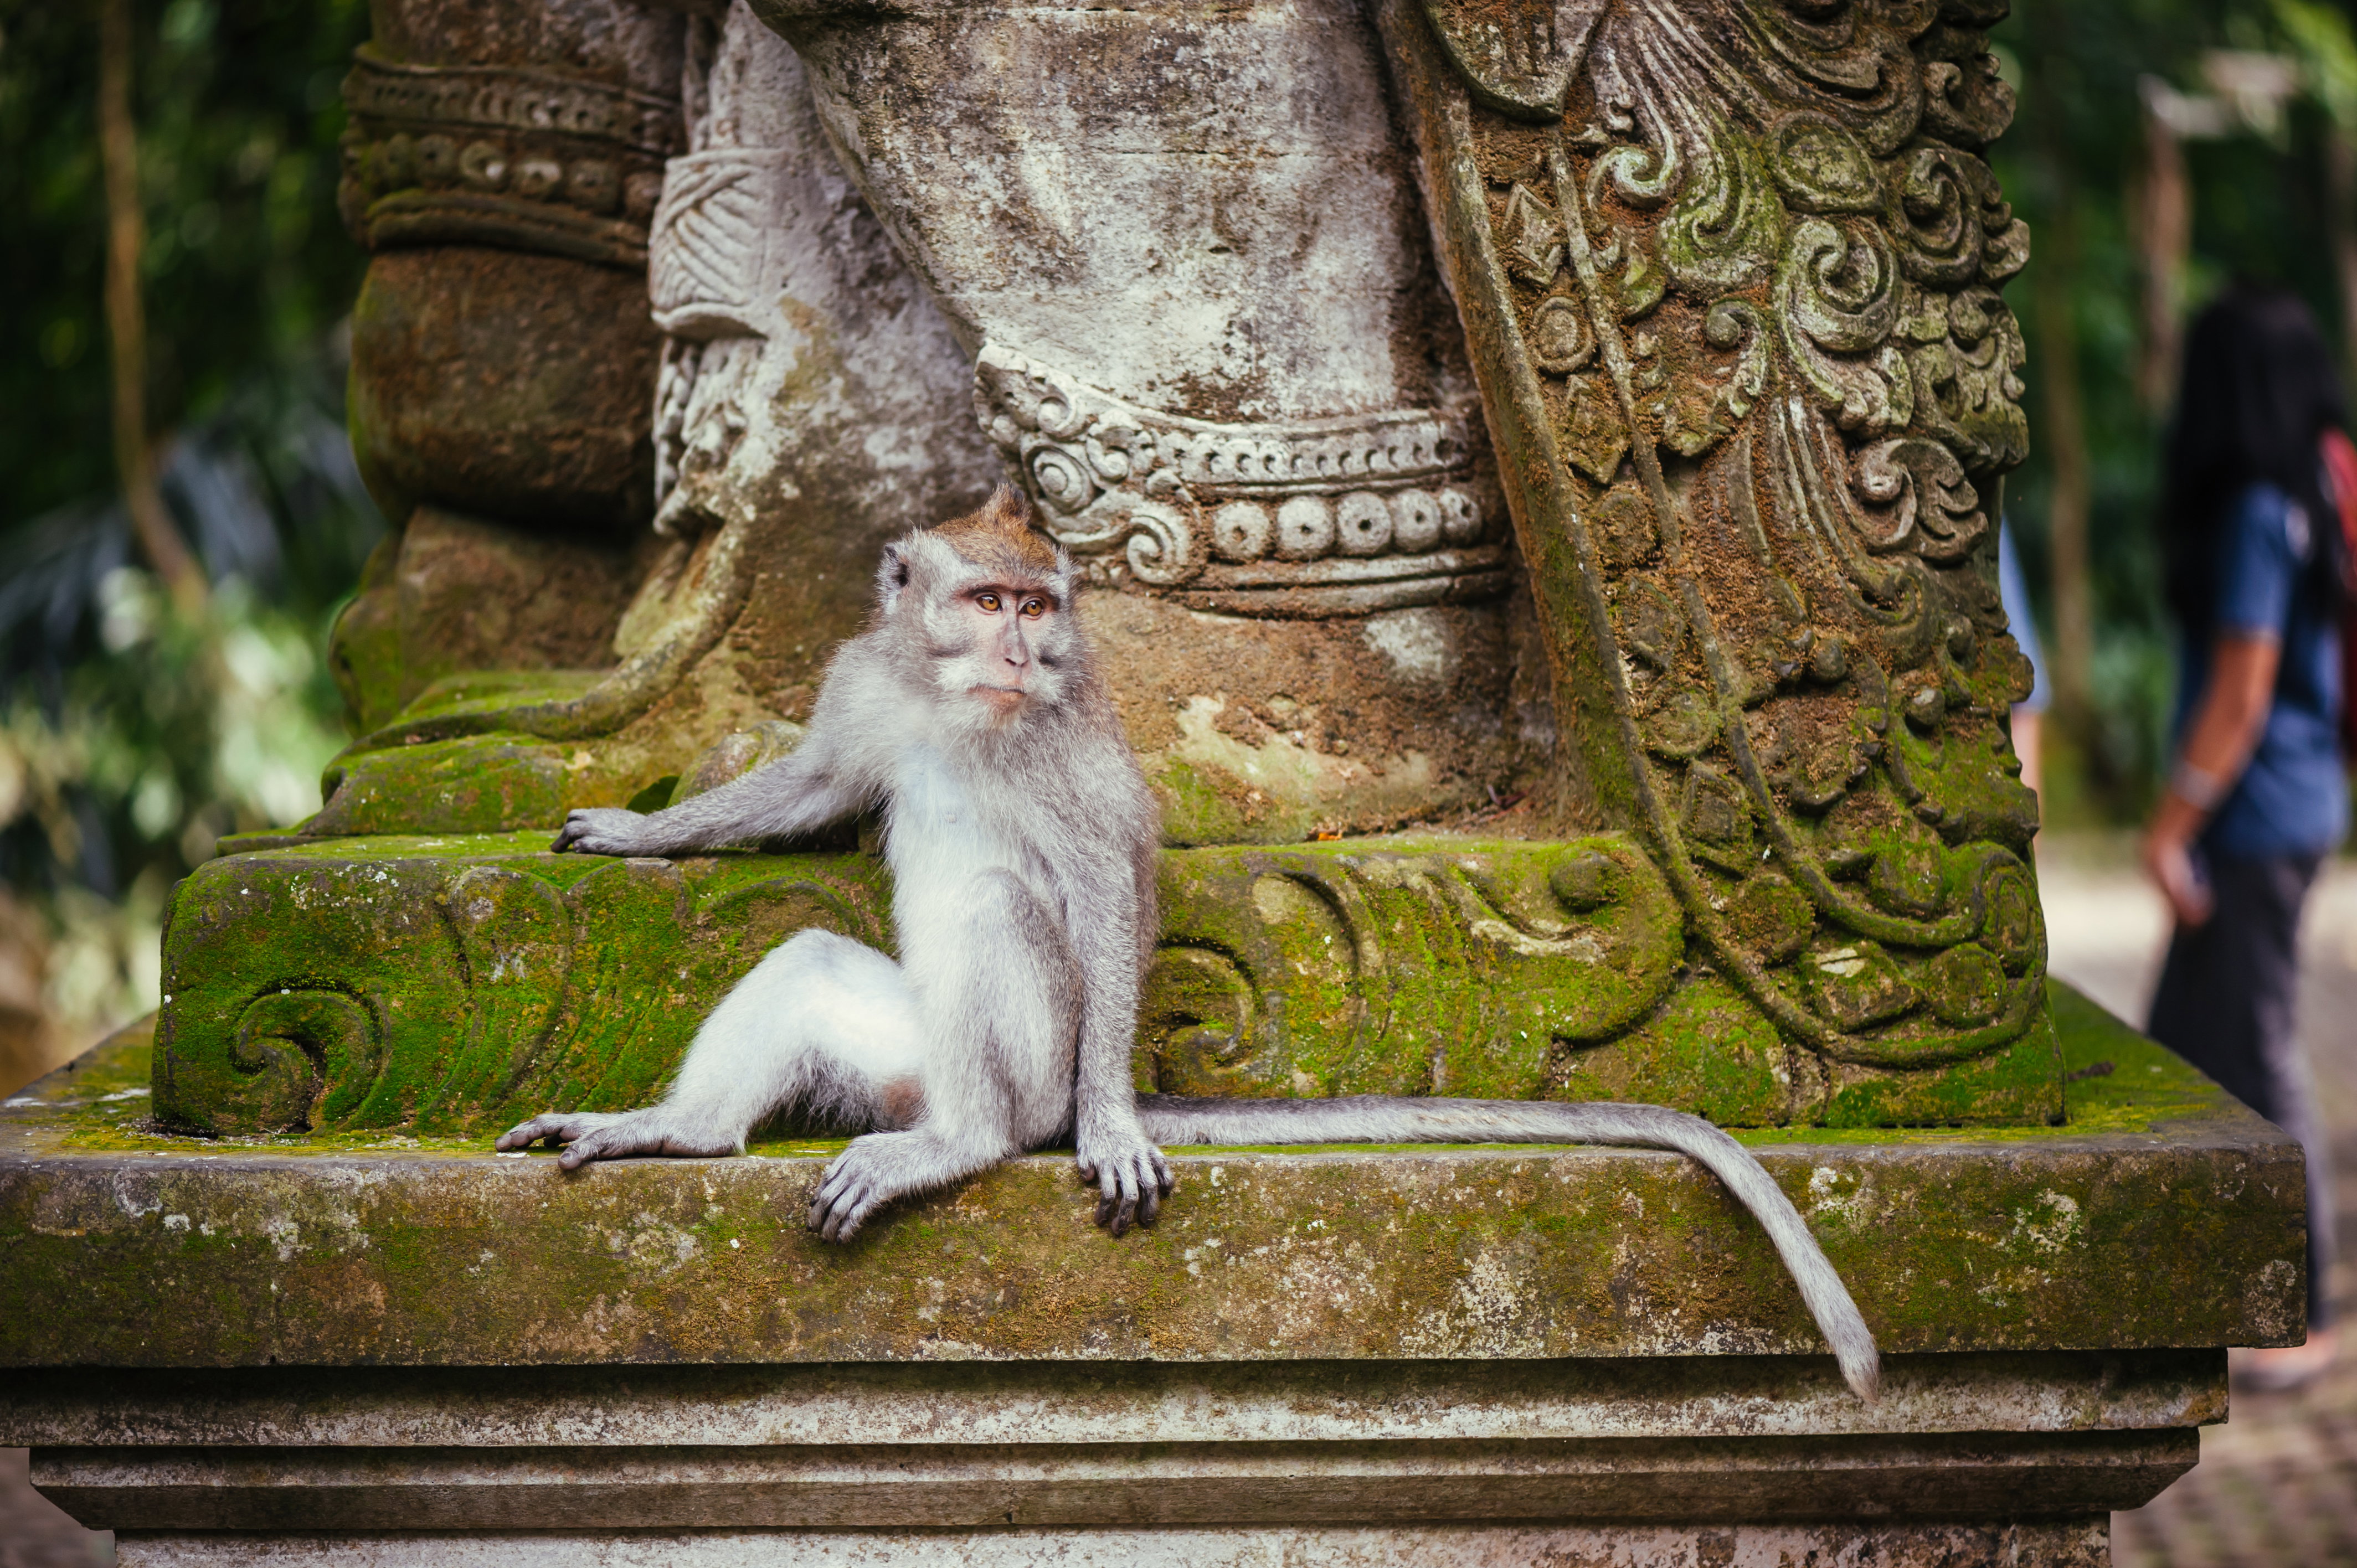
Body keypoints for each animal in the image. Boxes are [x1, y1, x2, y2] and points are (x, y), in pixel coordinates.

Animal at [498, 488, 1880, 1404]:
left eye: (1037, 608)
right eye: (985, 601)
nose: (1021, 647)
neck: (961, 707)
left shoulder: (1065, 732)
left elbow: (1107, 885)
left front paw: (1116, 1123)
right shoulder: (863, 683)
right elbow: (816, 784)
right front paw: (632, 828)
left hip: (1027, 1070)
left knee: (999, 937)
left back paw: (963, 1145)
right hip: (892, 1057)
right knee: (806, 965)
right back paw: (680, 1132)